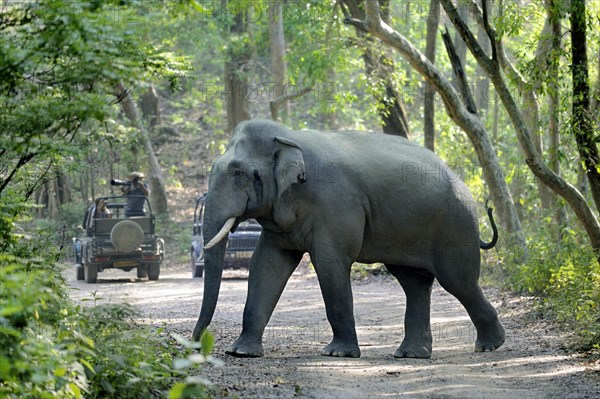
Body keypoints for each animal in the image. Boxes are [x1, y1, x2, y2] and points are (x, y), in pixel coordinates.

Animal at [191, 119, 502, 360]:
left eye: (238, 173)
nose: (195, 346)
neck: (290, 136)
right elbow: (266, 265)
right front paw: (241, 352)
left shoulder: (336, 203)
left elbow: (330, 263)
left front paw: (338, 353)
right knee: (414, 283)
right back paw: (412, 354)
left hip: (454, 225)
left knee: (458, 282)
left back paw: (489, 346)